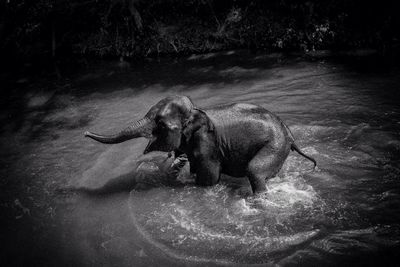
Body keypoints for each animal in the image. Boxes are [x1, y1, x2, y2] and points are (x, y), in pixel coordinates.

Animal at [84, 95, 316, 194]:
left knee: (255, 171)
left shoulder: (207, 143)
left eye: (160, 124)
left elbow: (209, 178)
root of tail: (290, 135)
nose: (84, 133)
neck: (196, 110)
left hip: (274, 145)